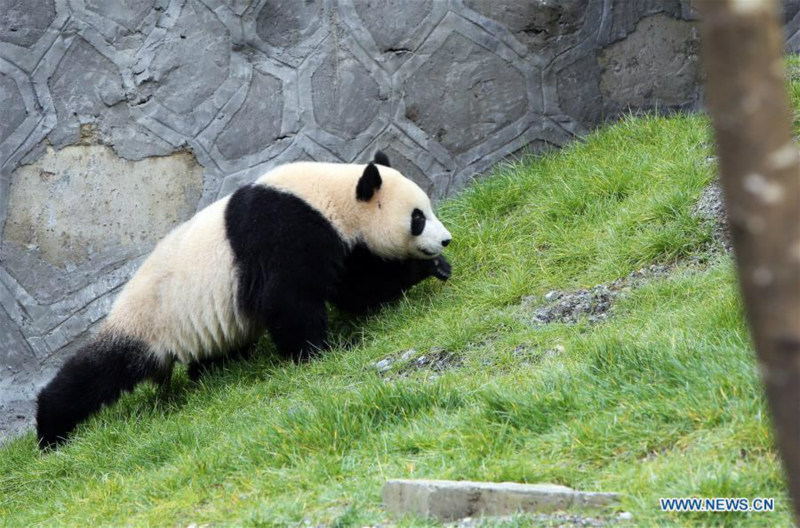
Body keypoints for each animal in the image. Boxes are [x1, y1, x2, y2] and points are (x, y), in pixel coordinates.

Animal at [36, 152, 450, 450]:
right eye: (418, 218)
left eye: (428, 210)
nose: (445, 239)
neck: (330, 195)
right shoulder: (284, 229)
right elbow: (289, 299)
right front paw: (318, 352)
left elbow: (358, 287)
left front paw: (432, 267)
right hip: (148, 319)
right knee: (98, 372)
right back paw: (50, 431)